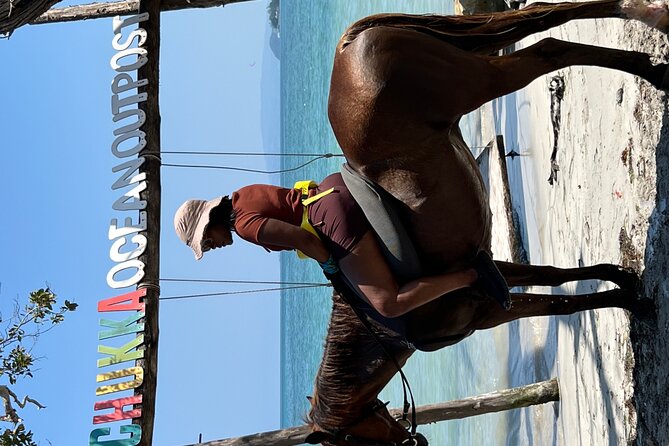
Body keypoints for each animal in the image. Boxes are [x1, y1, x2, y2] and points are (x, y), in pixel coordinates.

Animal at [303, 1, 665, 444]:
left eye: (350, 439)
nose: (415, 440)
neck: (387, 317)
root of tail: (349, 45)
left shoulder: (489, 312)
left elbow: (560, 303)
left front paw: (631, 301)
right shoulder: (494, 271)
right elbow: (552, 274)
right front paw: (621, 278)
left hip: (479, 78)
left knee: (547, 47)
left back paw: (652, 59)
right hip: (473, 54)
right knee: (545, 23)